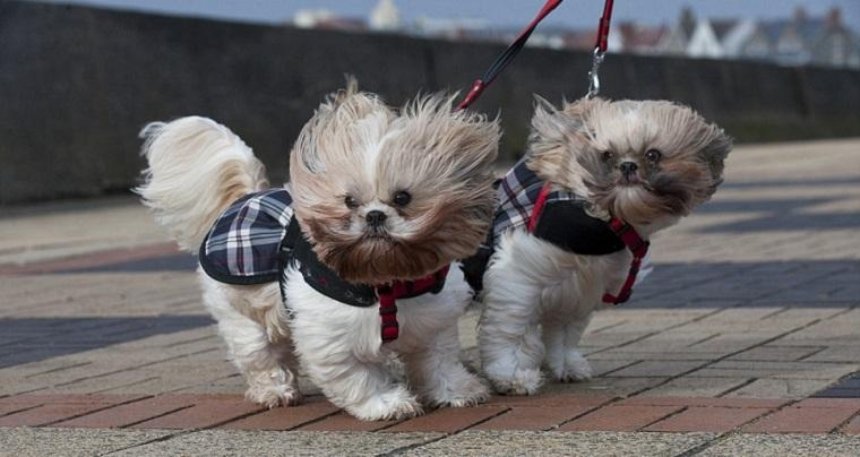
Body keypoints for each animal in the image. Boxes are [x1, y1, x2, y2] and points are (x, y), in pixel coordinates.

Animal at [134, 80, 498, 418]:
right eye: (349, 201)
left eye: (402, 197)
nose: (374, 215)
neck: (385, 284)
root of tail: (245, 197)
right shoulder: (330, 338)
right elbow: (359, 377)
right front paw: (386, 403)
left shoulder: (432, 324)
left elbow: (438, 362)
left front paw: (457, 391)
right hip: (239, 311)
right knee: (260, 354)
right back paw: (276, 391)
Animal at [474, 97, 728, 396]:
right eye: (607, 155)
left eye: (653, 154)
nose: (628, 166)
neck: (603, 220)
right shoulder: (517, 278)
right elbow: (509, 331)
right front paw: (511, 375)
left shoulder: (577, 290)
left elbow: (565, 334)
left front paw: (567, 365)